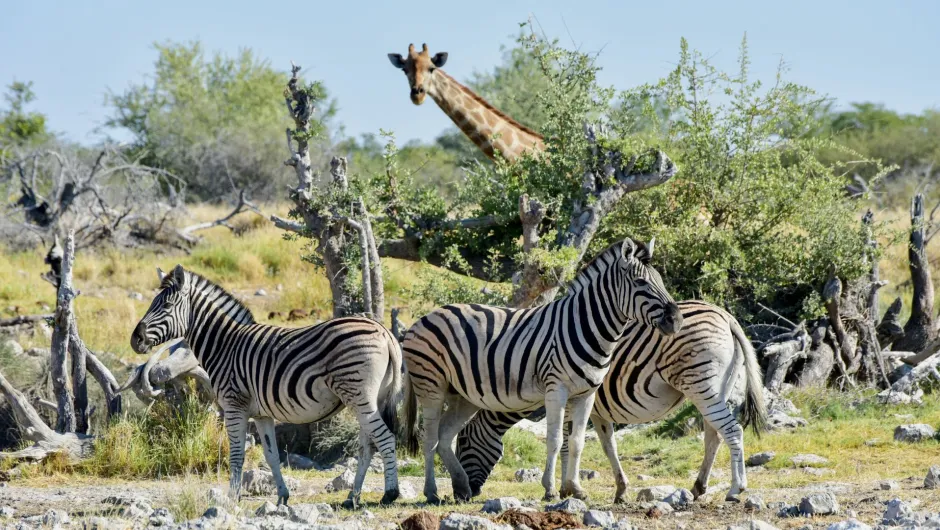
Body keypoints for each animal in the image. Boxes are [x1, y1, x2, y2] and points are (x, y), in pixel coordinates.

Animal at [130, 266, 402, 506]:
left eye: (166, 306)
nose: (135, 340)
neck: (224, 345)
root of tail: (384, 332)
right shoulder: (262, 414)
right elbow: (271, 456)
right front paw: (282, 496)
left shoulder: (234, 406)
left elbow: (237, 454)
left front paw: (232, 498)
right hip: (370, 398)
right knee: (367, 447)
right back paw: (352, 497)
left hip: (359, 394)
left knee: (385, 438)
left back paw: (390, 494)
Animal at [400, 237, 680, 502]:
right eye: (640, 283)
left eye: (661, 281)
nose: (676, 321)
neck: (588, 327)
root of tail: (424, 318)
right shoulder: (556, 389)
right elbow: (555, 440)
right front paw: (550, 490)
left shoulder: (586, 395)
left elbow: (577, 442)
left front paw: (576, 489)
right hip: (431, 386)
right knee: (429, 438)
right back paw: (432, 492)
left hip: (463, 395)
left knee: (445, 436)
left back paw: (461, 486)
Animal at [458, 300, 772, 502]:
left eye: (462, 444)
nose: (466, 496)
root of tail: (725, 315)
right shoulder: (597, 411)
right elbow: (608, 446)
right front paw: (619, 491)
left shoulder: (572, 402)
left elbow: (566, 444)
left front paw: (564, 489)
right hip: (714, 388)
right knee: (714, 436)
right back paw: (698, 487)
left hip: (701, 384)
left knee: (732, 431)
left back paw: (735, 490)